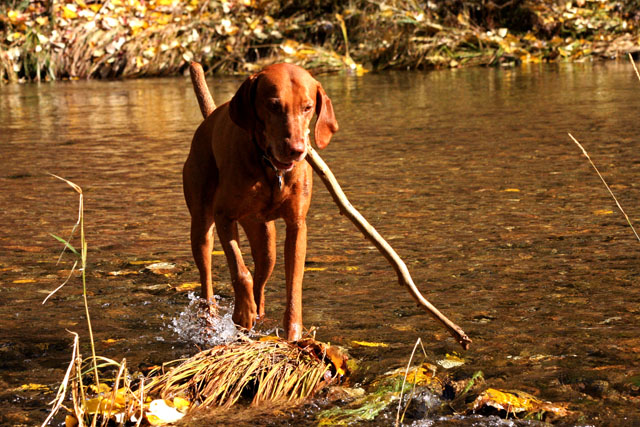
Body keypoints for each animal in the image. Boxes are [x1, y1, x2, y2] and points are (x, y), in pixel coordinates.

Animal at [183, 63, 339, 341]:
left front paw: (293, 334)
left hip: (264, 239)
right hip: (202, 227)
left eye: (308, 107)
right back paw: (212, 319)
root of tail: (210, 117)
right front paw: (242, 313)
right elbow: (239, 270)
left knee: (262, 276)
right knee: (207, 280)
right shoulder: (224, 217)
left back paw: (258, 314)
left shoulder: (297, 226)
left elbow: (293, 285)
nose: (296, 150)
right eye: (273, 105)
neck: (271, 169)